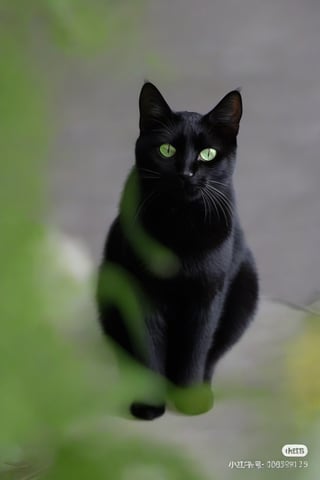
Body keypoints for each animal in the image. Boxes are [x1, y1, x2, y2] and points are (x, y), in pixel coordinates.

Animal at [96, 82, 258, 420]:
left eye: (208, 154)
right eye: (166, 150)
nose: (186, 173)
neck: (180, 223)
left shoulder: (207, 295)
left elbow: (196, 350)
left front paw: (190, 400)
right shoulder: (141, 294)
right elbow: (149, 350)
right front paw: (148, 404)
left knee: (212, 355)